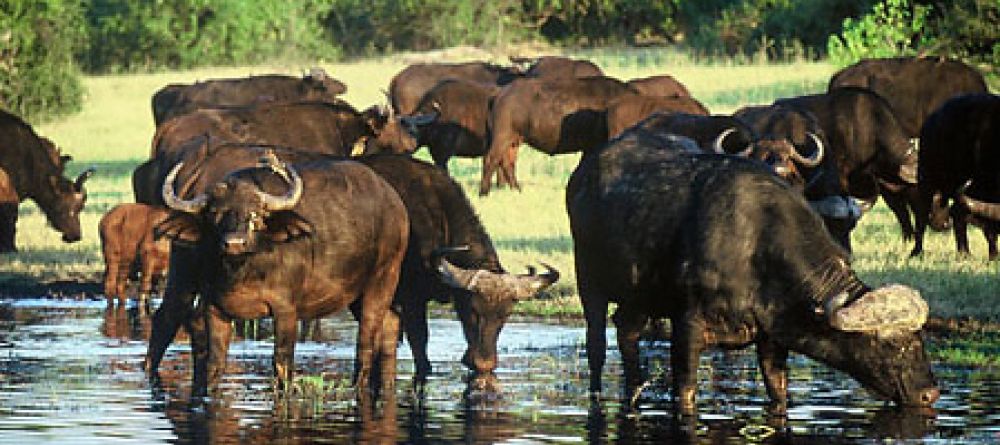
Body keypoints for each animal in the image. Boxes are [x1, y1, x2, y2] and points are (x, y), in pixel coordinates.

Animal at [567, 124, 938, 414]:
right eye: (888, 343)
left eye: (919, 338)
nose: (929, 393)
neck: (755, 249)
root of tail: (583, 174)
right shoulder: (687, 327)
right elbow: (685, 393)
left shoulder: (772, 338)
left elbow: (778, 391)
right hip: (589, 281)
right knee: (597, 343)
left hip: (640, 295)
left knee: (626, 330)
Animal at [912, 93, 1000, 260]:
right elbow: (989, 228)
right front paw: (994, 256)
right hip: (926, 178)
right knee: (922, 214)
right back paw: (916, 252)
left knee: (957, 212)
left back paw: (964, 252)